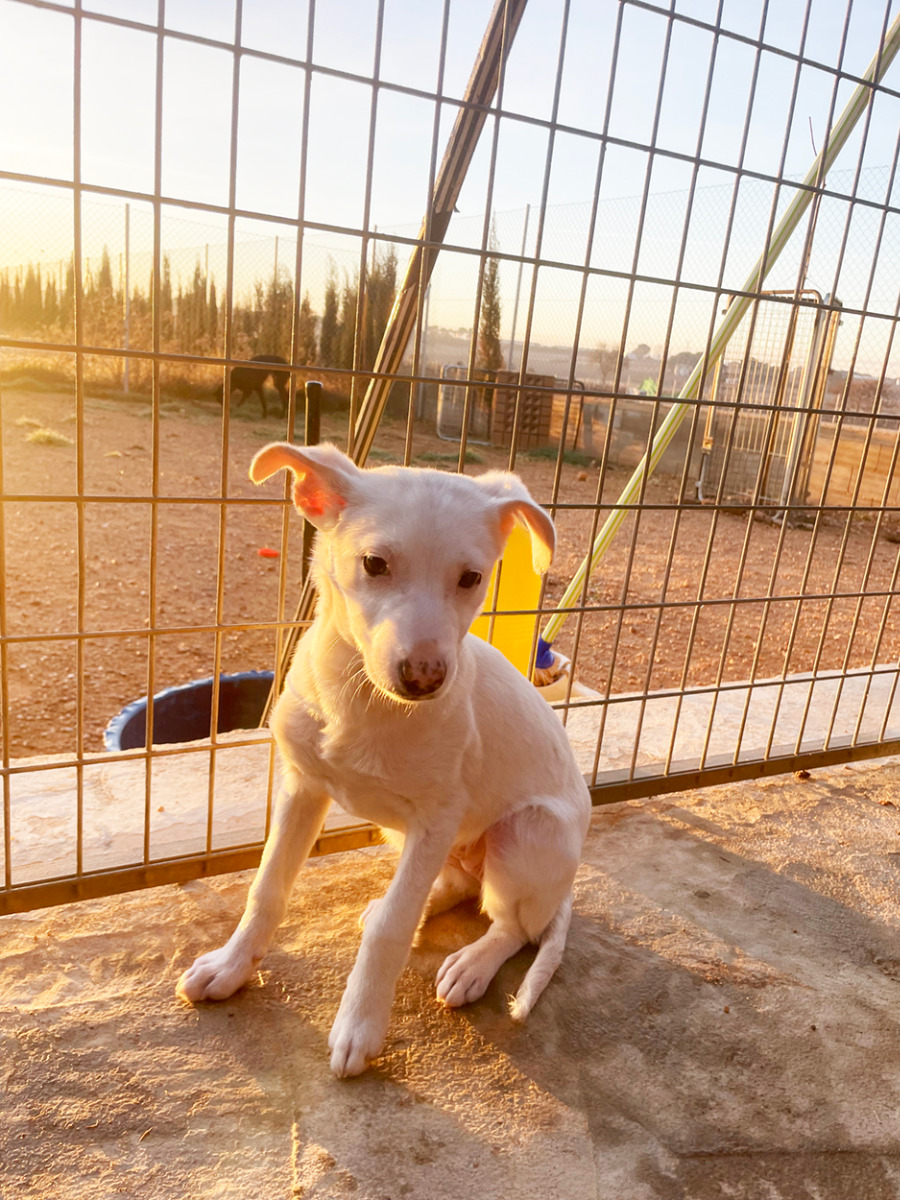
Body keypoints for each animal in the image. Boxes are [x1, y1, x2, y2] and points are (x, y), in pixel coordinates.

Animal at [177, 442, 592, 1077]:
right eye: (374, 564)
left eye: (471, 578)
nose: (425, 678)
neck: (362, 700)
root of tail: (564, 885)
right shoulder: (302, 788)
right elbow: (267, 888)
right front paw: (231, 966)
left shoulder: (437, 819)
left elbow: (394, 932)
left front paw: (360, 1025)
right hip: (413, 838)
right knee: (454, 884)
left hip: (525, 832)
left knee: (514, 925)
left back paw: (473, 963)